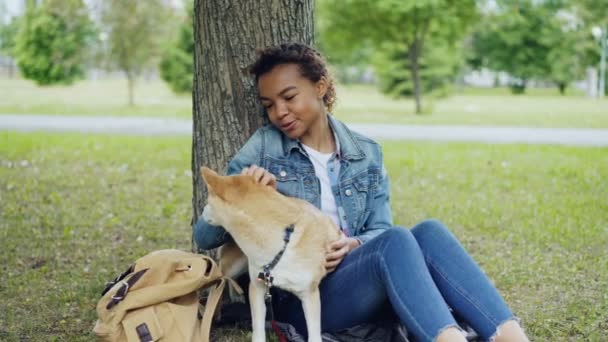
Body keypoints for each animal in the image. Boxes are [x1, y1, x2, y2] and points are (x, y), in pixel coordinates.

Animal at [201, 167, 340, 340]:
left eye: (208, 201)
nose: (202, 212)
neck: (283, 241)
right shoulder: (257, 287)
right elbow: (258, 331)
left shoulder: (310, 294)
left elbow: (314, 335)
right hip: (236, 265)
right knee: (219, 281)